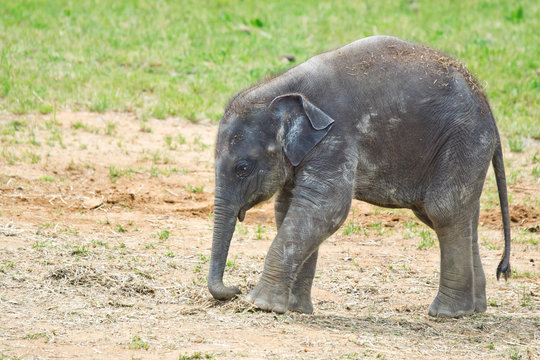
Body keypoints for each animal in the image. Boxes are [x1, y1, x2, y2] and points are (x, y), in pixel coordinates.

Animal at [207, 35, 510, 318]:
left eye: (242, 168)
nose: (235, 289)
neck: (282, 88)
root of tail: (485, 101)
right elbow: (288, 209)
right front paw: (295, 309)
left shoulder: (336, 139)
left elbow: (324, 208)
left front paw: (261, 305)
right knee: (459, 214)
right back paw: (474, 309)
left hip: (464, 138)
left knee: (444, 209)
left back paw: (446, 313)